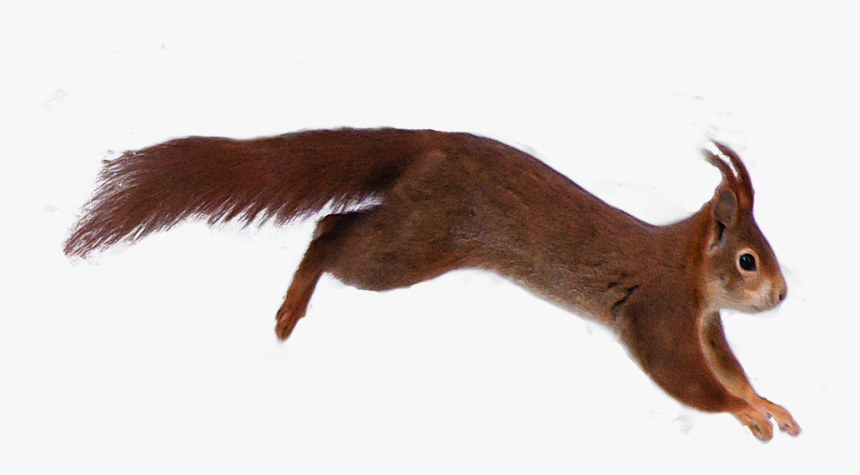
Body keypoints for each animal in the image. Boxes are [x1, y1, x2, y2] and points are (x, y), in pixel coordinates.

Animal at [64, 128, 800, 441]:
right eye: (748, 260)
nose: (784, 296)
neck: (688, 269)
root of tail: (430, 143)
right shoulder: (658, 312)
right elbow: (688, 381)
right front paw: (747, 414)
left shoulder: (705, 322)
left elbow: (729, 369)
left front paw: (765, 402)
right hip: (412, 245)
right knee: (331, 233)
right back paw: (292, 306)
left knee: (335, 225)